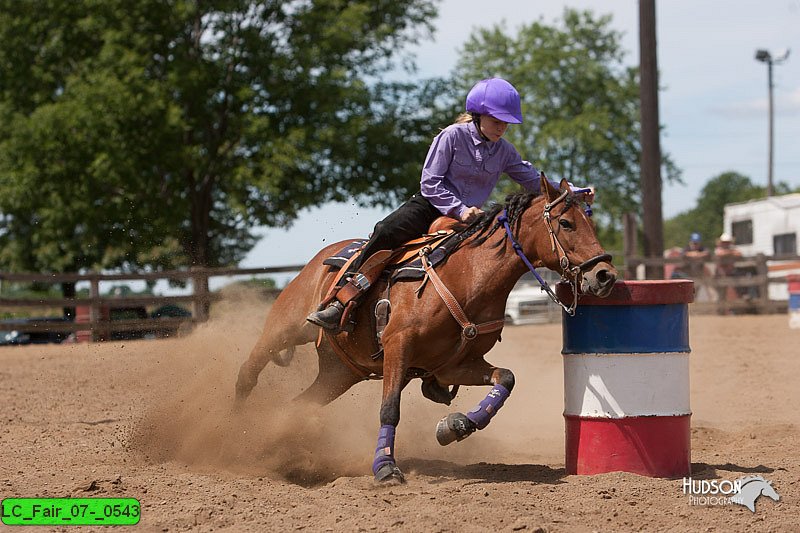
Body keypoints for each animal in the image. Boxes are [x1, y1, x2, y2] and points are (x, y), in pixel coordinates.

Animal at [234, 177, 616, 484]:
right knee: (249, 369)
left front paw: (456, 426)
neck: (468, 276)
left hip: (339, 373)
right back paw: (237, 420)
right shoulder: (398, 346)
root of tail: (322, 257)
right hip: (285, 328)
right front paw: (385, 468)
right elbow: (390, 408)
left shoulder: (453, 365)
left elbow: (506, 379)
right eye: (566, 222)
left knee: (298, 405)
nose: (605, 275)